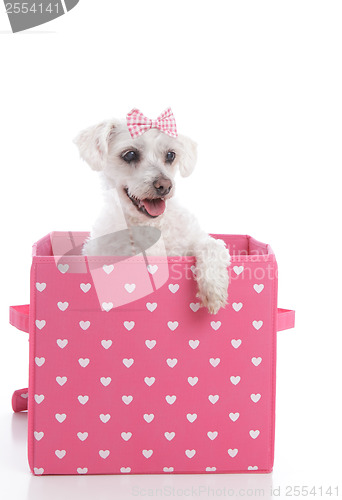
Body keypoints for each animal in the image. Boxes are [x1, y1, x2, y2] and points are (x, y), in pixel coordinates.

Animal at [74, 110, 230, 314]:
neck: (150, 223)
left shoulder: (195, 240)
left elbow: (212, 246)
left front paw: (213, 289)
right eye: (130, 154)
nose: (164, 185)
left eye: (171, 155)